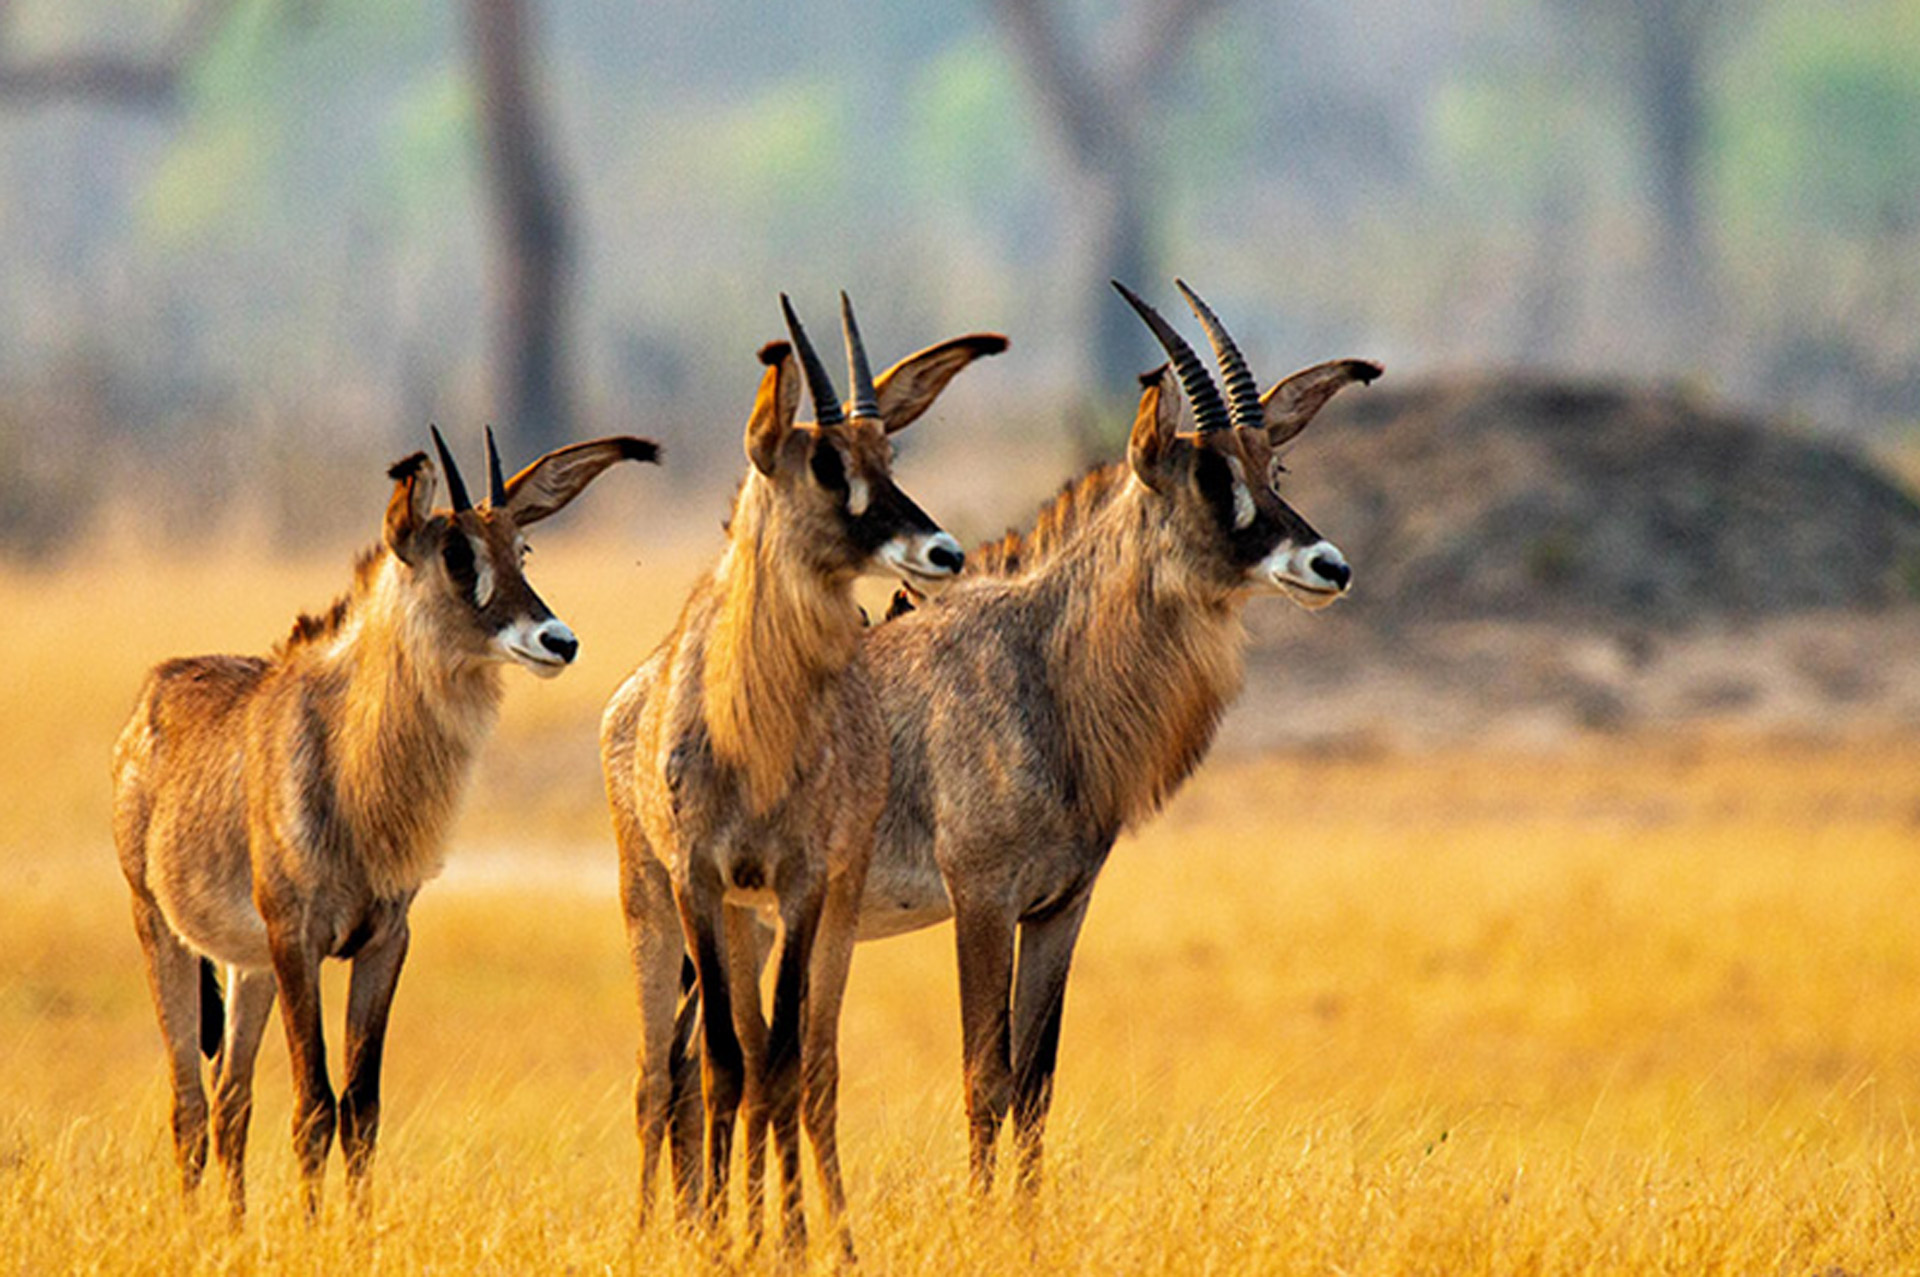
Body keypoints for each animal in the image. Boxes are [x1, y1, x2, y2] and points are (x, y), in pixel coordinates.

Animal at [112, 428, 656, 1220]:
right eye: (456, 554)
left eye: (521, 547)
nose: (558, 640)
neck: (348, 765)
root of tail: (151, 697)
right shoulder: (298, 939)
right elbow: (313, 1104)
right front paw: (315, 1230)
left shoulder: (383, 940)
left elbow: (360, 1107)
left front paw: (357, 1227)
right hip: (162, 930)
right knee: (189, 1101)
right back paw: (194, 1227)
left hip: (247, 966)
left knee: (230, 1099)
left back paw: (233, 1229)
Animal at [600, 294, 1002, 1255]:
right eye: (824, 462)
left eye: (887, 451)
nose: (940, 550)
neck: (753, 728)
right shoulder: (699, 881)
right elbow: (721, 1064)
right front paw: (718, 1240)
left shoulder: (805, 884)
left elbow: (777, 1064)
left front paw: (779, 1238)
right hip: (660, 908)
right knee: (662, 1073)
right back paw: (668, 1226)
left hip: (805, 916)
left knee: (802, 1060)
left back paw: (812, 1232)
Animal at [674, 280, 1377, 1199]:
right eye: (1207, 475)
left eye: (1272, 468)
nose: (1328, 565)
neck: (1043, 663)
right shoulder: (982, 896)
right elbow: (985, 1073)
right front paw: (982, 1215)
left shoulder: (1061, 905)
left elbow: (1036, 1081)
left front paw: (1026, 1216)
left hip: (756, 921)